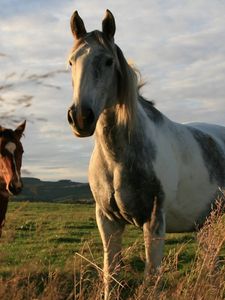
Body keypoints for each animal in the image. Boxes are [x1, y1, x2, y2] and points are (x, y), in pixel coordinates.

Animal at [67, 9, 225, 300]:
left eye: (108, 61)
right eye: (71, 61)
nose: (81, 117)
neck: (117, 159)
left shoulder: (153, 223)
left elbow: (152, 279)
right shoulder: (108, 222)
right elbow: (111, 276)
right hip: (207, 224)